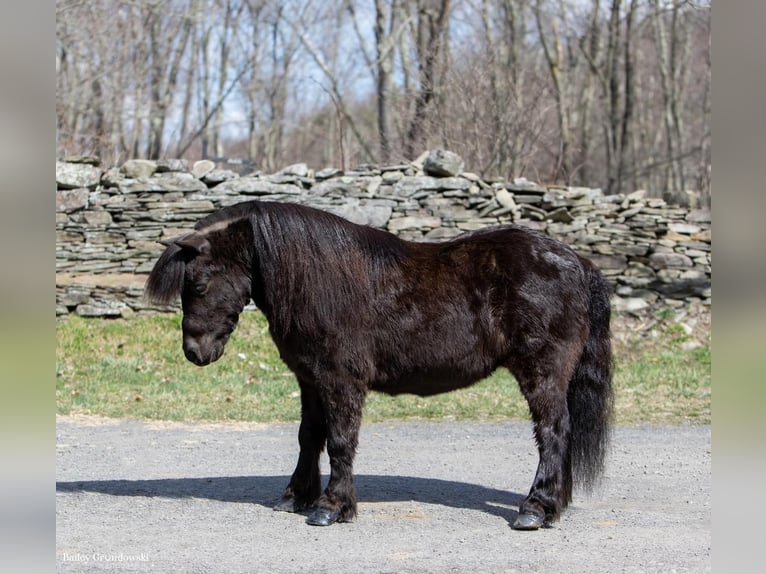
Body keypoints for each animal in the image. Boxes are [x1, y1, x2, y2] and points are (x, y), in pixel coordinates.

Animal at [147, 200, 616, 532]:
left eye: (198, 284)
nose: (195, 352)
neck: (318, 279)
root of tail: (579, 264)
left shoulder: (340, 380)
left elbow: (340, 441)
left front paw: (331, 508)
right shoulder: (310, 380)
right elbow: (309, 437)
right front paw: (295, 497)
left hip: (542, 373)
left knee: (553, 432)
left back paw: (535, 508)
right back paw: (554, 506)